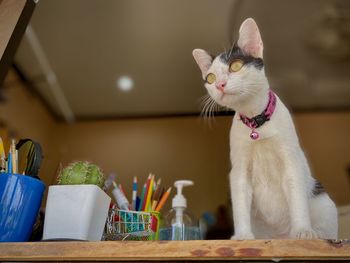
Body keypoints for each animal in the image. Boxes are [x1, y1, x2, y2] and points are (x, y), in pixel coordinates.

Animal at [193, 17, 338, 240]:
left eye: (236, 66)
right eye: (210, 78)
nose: (219, 85)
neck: (256, 122)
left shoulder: (291, 161)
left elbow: (297, 199)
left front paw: (303, 231)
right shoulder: (239, 171)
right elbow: (240, 204)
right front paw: (242, 236)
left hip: (323, 203)